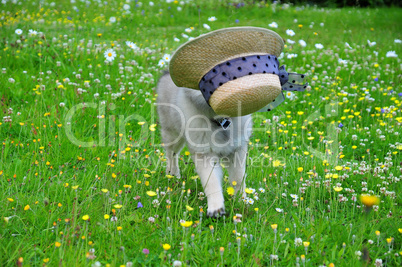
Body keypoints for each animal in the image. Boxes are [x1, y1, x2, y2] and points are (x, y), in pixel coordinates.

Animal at [156, 73, 251, 218]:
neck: (220, 121)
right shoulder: (205, 154)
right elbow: (211, 181)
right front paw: (216, 207)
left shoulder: (237, 150)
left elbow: (238, 178)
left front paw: (241, 200)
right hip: (173, 133)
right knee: (171, 154)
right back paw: (172, 174)